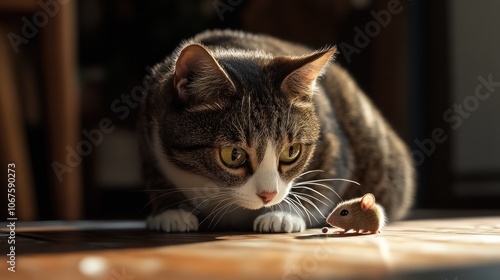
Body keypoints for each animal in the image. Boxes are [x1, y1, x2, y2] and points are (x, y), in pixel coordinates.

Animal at [139, 29, 416, 233]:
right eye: (233, 154)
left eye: (291, 151)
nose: (268, 194)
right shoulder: (150, 120)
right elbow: (154, 171)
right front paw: (170, 211)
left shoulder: (333, 142)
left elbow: (323, 183)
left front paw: (283, 215)